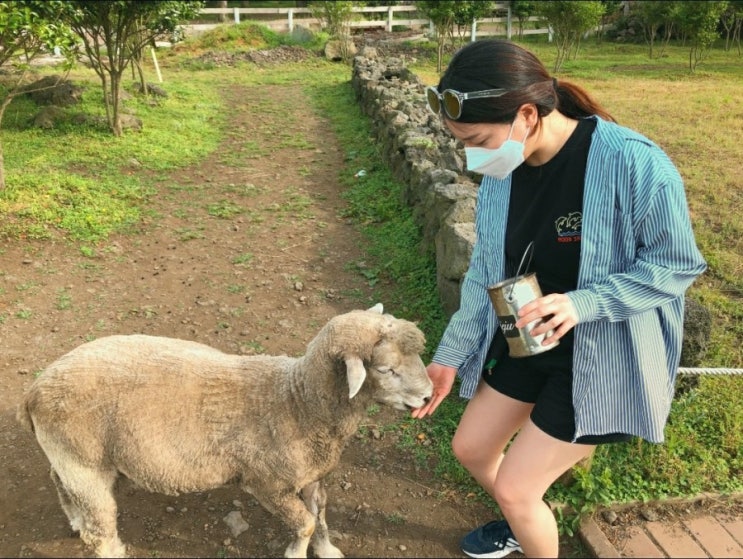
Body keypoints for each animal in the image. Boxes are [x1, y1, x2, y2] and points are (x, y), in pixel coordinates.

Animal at [16, 306, 436, 559]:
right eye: (385, 369)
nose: (430, 396)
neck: (298, 401)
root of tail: (35, 390)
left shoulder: (312, 475)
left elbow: (321, 515)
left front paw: (328, 550)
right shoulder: (267, 483)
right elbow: (304, 522)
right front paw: (296, 553)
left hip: (71, 458)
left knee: (58, 481)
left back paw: (74, 518)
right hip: (83, 463)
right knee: (100, 533)